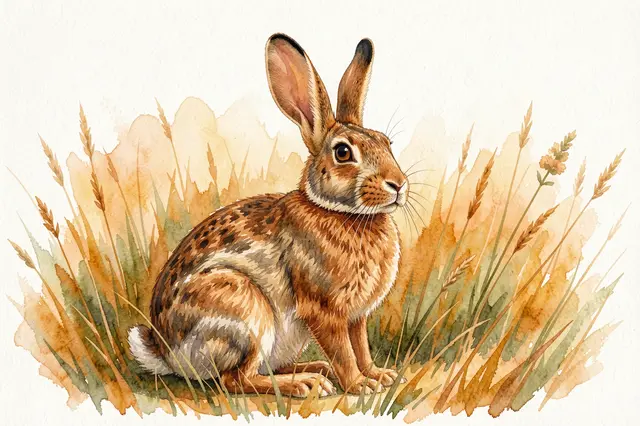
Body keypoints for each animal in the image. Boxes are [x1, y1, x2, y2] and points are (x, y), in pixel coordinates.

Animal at [128, 33, 409, 397]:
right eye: (343, 152)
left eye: (387, 143)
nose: (398, 184)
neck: (343, 213)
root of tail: (168, 354)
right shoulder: (325, 311)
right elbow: (345, 352)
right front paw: (359, 385)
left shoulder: (356, 316)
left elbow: (360, 346)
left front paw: (379, 376)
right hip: (245, 313)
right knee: (236, 379)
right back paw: (306, 383)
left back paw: (315, 370)